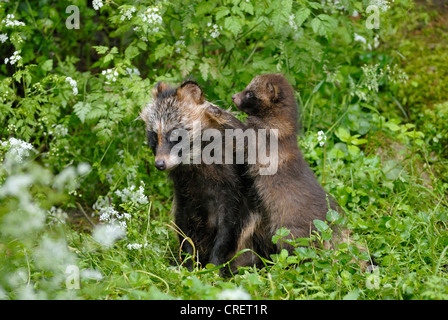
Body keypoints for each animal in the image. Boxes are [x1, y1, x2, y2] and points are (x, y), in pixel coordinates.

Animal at [140, 80, 260, 272]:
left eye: (175, 134)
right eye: (153, 135)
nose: (159, 164)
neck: (195, 158)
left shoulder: (234, 188)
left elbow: (229, 228)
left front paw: (214, 266)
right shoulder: (184, 190)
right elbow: (183, 227)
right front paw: (189, 265)